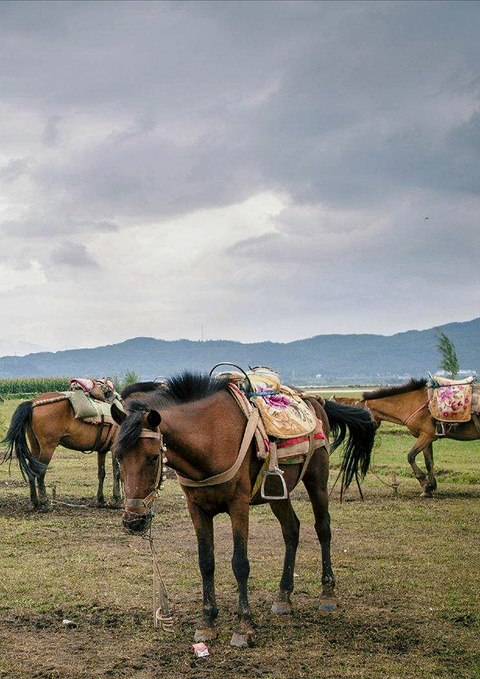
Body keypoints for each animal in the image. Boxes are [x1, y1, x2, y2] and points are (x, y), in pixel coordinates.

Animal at [2, 378, 122, 510]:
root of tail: (32, 403)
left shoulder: (102, 450)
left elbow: (101, 473)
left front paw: (100, 500)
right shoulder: (115, 448)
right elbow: (117, 472)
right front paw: (117, 500)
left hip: (35, 445)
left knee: (32, 470)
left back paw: (35, 502)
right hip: (48, 447)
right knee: (40, 471)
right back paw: (44, 502)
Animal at [112, 366, 376, 648]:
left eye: (152, 457)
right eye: (118, 456)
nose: (133, 521)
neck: (210, 438)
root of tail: (316, 401)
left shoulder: (238, 505)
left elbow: (240, 563)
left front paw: (244, 626)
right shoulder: (197, 508)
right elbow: (206, 562)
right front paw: (207, 623)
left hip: (317, 479)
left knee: (323, 528)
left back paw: (327, 594)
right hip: (277, 492)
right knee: (291, 530)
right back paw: (283, 597)